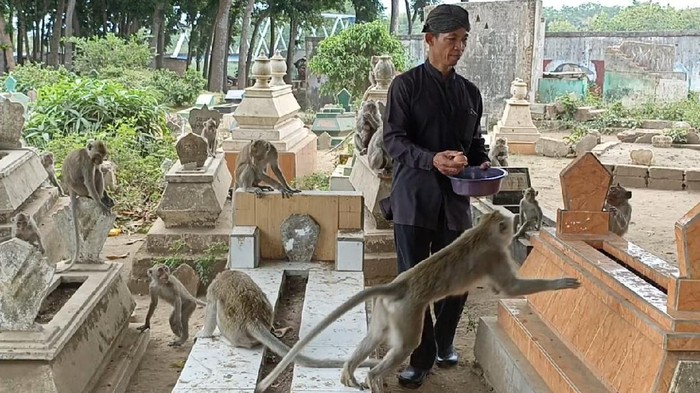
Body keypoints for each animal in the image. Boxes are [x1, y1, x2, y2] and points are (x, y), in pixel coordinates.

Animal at [54, 141, 113, 272]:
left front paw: (106, 196)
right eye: (98, 155)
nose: (101, 161)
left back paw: (104, 198)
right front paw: (100, 204)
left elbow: (97, 171)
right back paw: (97, 199)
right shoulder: (88, 163)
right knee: (96, 175)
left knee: (98, 172)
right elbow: (89, 182)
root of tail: (70, 188)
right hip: (80, 188)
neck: (88, 154)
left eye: (103, 155)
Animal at [254, 211, 584, 392]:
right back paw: (373, 376)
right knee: (406, 345)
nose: (516, 225)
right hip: (407, 312)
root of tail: (399, 284)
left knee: (376, 336)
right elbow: (510, 289)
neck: (482, 231)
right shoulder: (496, 255)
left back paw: (349, 369)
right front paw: (562, 283)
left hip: (385, 310)